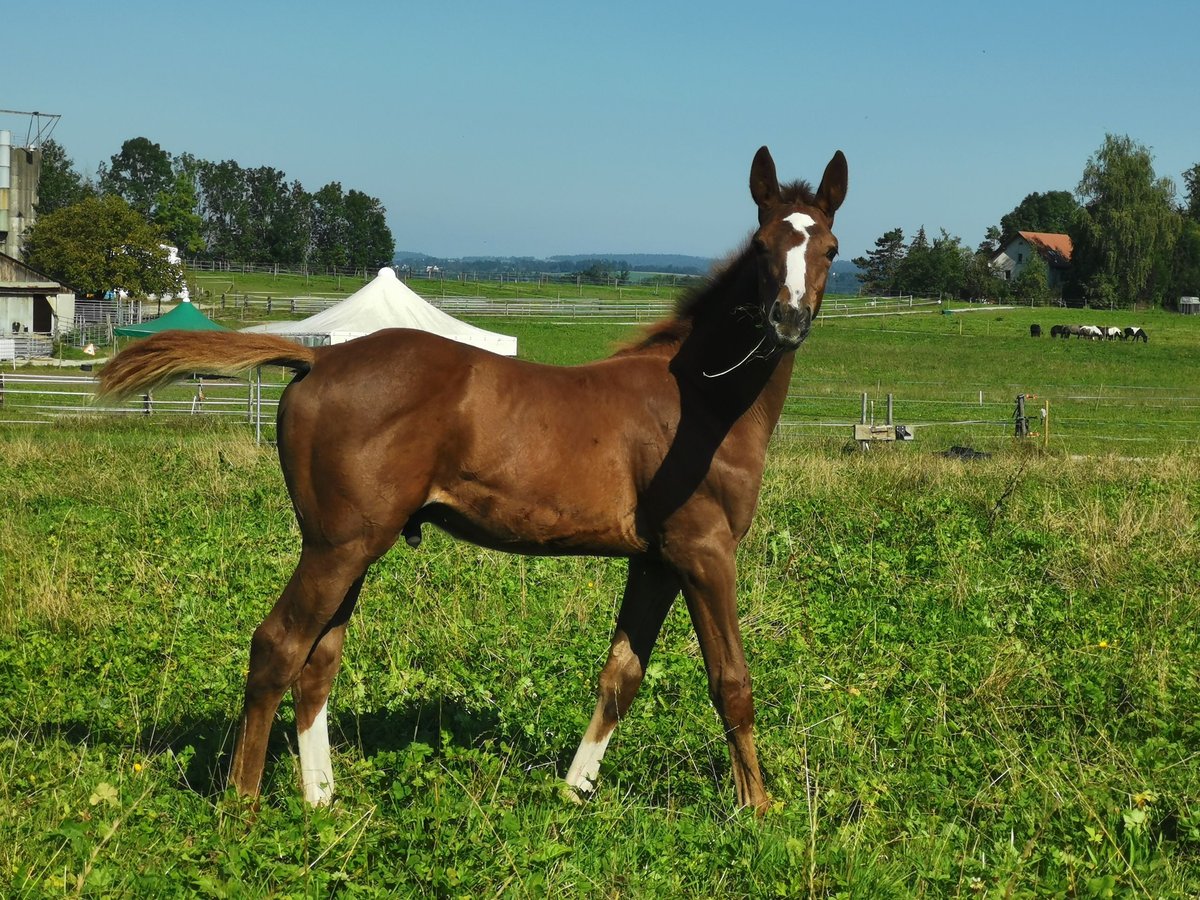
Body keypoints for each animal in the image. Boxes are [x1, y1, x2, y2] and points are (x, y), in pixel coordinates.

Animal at [96, 146, 854, 811]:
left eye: (830, 248)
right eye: (762, 245)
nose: (788, 321)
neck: (700, 401)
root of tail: (318, 360)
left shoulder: (656, 561)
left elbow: (620, 675)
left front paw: (573, 794)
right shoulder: (705, 552)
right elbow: (732, 681)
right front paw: (759, 809)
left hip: (348, 546)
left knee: (318, 661)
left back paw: (320, 800)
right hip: (338, 547)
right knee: (277, 647)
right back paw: (245, 803)